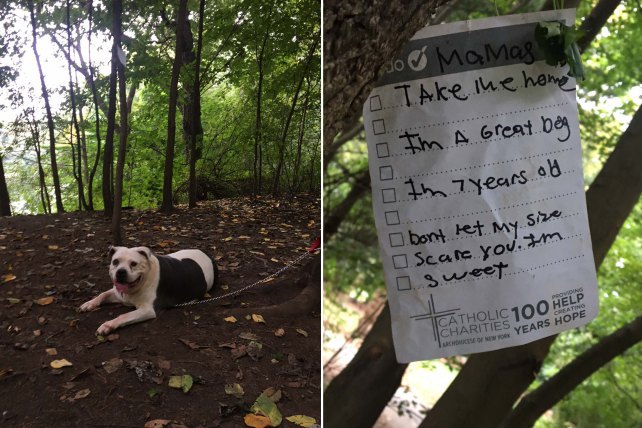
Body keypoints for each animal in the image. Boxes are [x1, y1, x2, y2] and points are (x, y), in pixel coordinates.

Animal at [77, 246, 218, 336]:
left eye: (134, 263)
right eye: (115, 262)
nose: (121, 272)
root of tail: (208, 254)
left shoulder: (147, 310)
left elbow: (124, 315)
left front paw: (108, 325)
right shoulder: (118, 294)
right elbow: (102, 294)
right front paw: (89, 304)